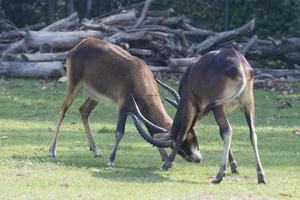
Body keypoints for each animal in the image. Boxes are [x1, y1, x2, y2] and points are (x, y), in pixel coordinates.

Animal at [48, 36, 202, 166]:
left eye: (192, 136)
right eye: (177, 144)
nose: (198, 158)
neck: (139, 76)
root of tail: (80, 45)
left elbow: (152, 133)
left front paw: (164, 158)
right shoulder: (123, 107)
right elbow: (119, 132)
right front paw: (111, 160)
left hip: (95, 96)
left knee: (84, 111)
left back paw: (96, 151)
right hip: (73, 86)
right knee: (62, 110)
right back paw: (52, 151)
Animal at [136, 47, 264, 184]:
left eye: (175, 146)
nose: (197, 159)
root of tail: (238, 62)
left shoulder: (189, 104)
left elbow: (182, 133)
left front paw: (167, 164)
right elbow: (220, 133)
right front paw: (234, 167)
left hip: (218, 107)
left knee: (228, 130)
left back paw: (219, 175)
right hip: (248, 104)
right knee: (252, 133)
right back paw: (261, 175)